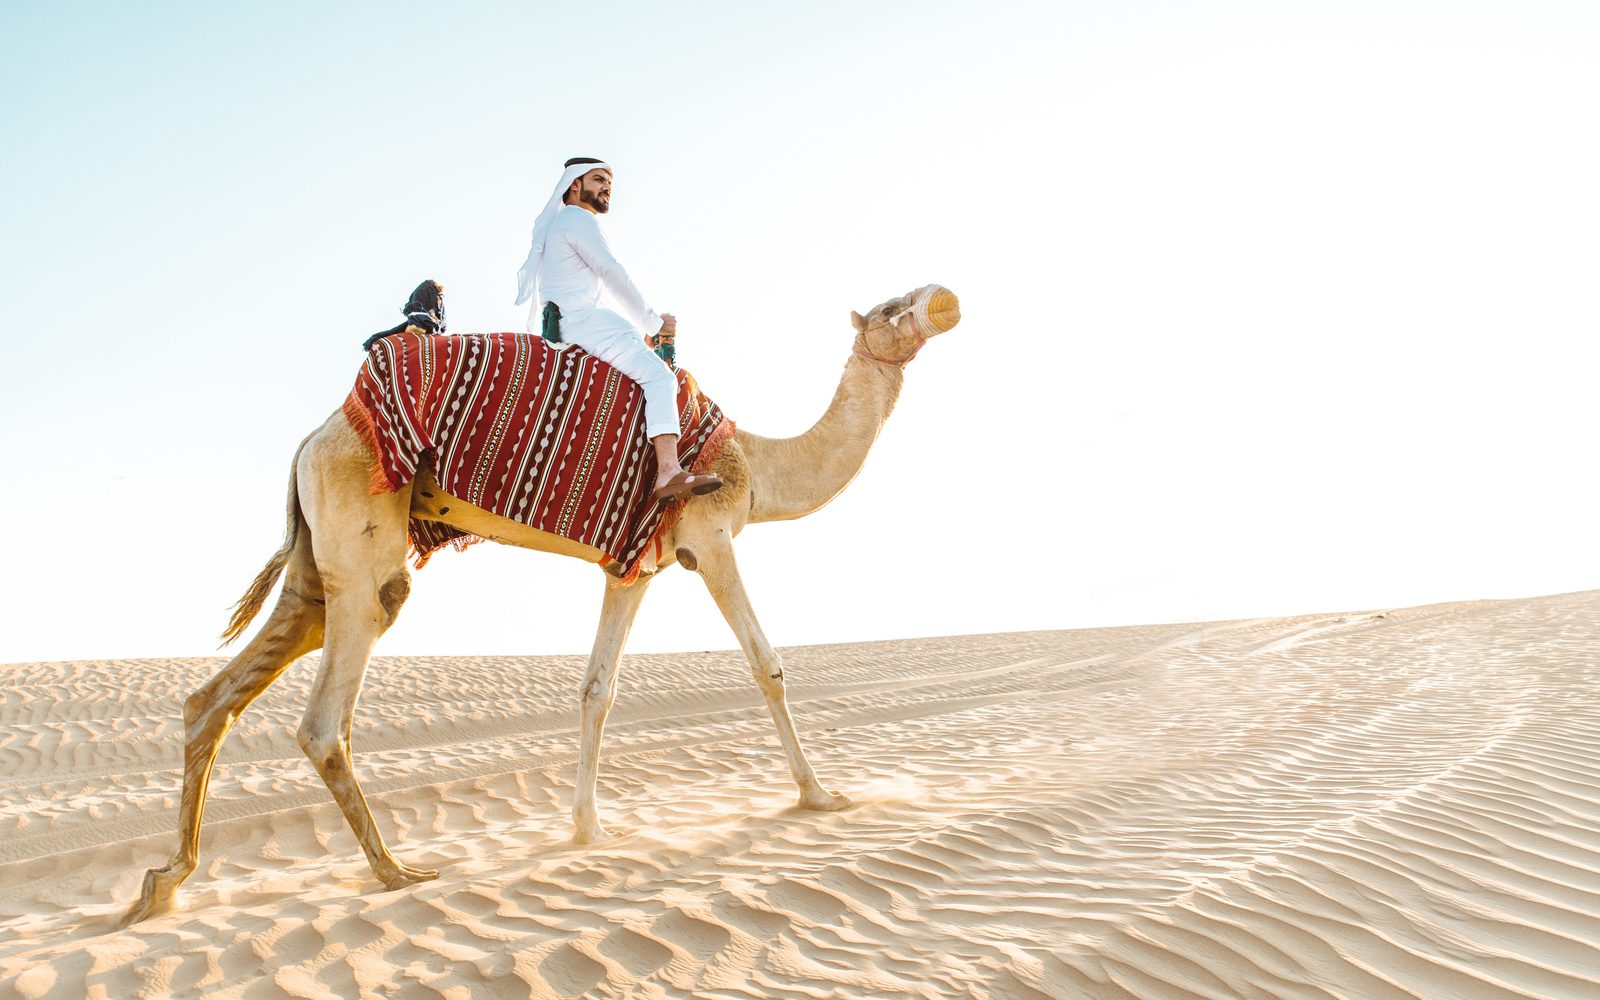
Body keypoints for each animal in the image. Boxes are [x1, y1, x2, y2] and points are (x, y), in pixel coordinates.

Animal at [122, 283, 961, 925]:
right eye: (892, 308)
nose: (940, 299)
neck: (756, 462)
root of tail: (310, 438)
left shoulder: (632, 569)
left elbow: (598, 689)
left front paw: (589, 829)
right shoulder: (711, 536)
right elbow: (767, 664)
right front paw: (820, 795)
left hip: (313, 566)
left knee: (216, 696)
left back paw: (163, 883)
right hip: (362, 544)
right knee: (326, 716)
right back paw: (395, 871)